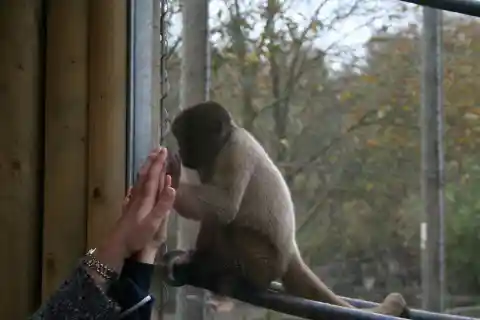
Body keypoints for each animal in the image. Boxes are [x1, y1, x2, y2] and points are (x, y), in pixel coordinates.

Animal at [167, 100, 410, 318]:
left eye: (186, 137)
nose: (180, 149)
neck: (227, 137)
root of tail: (291, 252)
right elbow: (212, 211)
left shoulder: (233, 152)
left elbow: (224, 206)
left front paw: (173, 183)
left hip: (263, 260)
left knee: (230, 226)